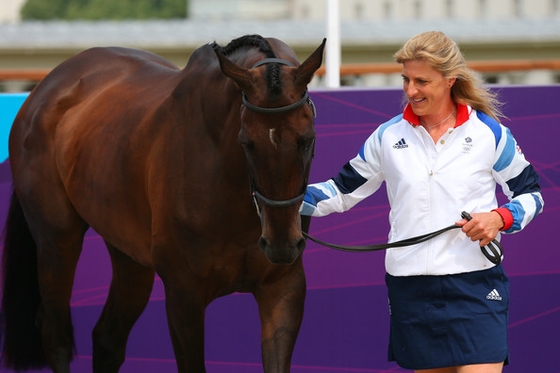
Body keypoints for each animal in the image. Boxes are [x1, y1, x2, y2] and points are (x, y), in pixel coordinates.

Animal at [0, 33, 324, 370]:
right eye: (246, 142)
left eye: (307, 139)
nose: (281, 245)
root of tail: (44, 89)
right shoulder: (184, 295)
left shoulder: (282, 288)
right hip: (57, 243)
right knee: (56, 335)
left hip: (129, 257)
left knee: (107, 339)